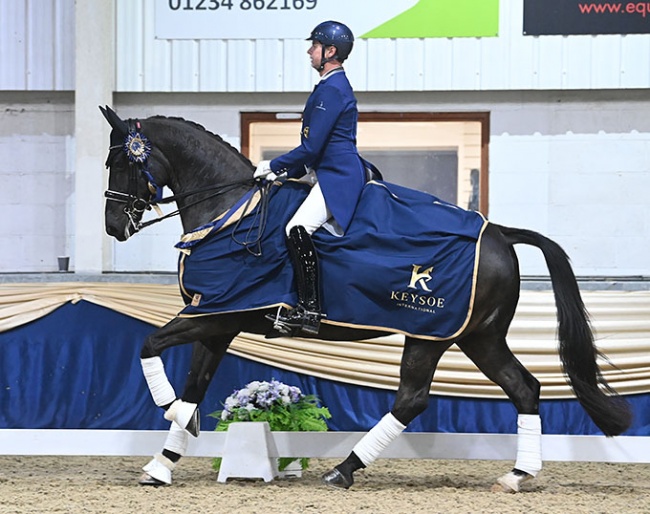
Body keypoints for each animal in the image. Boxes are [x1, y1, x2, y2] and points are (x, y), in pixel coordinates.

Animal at [100, 106, 628, 490]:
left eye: (123, 162)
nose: (113, 228)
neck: (230, 213)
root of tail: (498, 232)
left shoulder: (212, 316)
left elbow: (148, 347)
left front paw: (174, 418)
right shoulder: (218, 319)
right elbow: (193, 386)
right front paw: (162, 463)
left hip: (431, 333)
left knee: (413, 399)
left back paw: (345, 469)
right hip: (479, 336)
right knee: (524, 388)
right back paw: (517, 475)